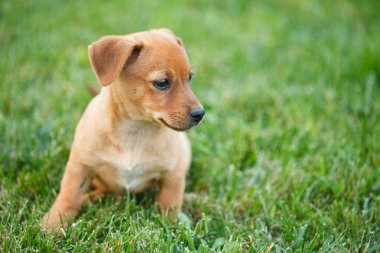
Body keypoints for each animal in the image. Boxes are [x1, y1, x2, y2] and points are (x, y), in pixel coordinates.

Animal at [41, 28, 205, 232]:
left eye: (189, 78)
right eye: (162, 82)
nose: (200, 113)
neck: (135, 129)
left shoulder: (173, 173)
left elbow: (170, 202)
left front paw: (172, 226)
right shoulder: (80, 166)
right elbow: (69, 195)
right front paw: (54, 221)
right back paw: (90, 198)